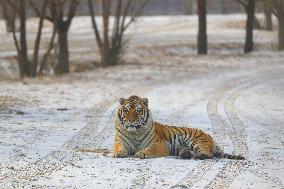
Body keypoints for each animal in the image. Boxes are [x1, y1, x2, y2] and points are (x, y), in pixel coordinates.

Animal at [114, 94, 245, 159]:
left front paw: (141, 153)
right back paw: (186, 155)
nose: (131, 120)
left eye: (138, 111)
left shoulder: (159, 144)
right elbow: (119, 148)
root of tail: (210, 137)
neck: (134, 133)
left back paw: (197, 157)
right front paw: (119, 153)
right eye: (126, 110)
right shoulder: (119, 141)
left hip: (195, 140)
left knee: (208, 154)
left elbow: (150, 149)